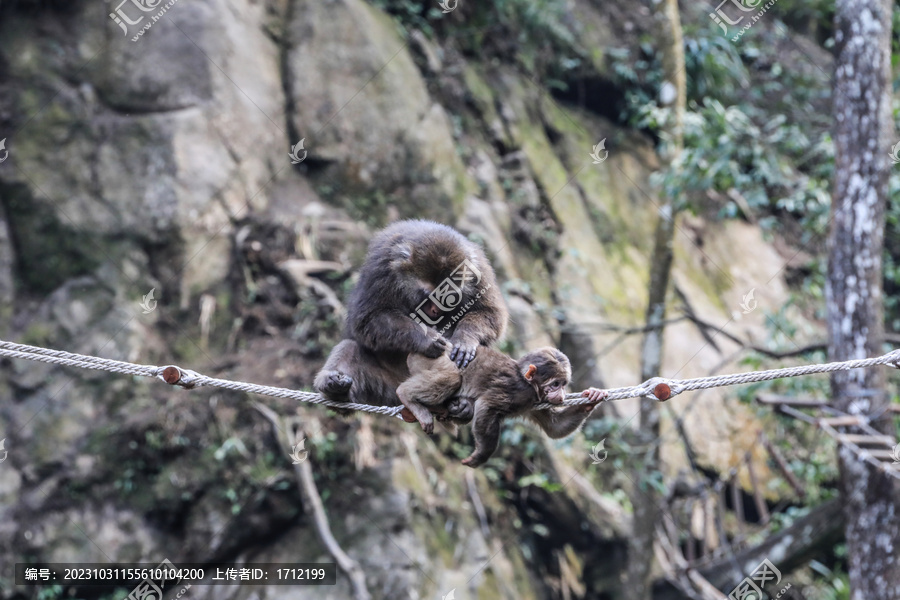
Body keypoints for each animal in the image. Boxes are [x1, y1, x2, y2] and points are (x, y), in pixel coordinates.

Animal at [312, 218, 506, 414]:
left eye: (448, 297)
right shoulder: (382, 266)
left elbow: (492, 313)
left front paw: (464, 340)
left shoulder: (479, 270)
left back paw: (464, 405)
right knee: (350, 347)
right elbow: (367, 318)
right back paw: (334, 388)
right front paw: (427, 338)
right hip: (387, 386)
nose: (435, 311)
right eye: (429, 295)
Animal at [398, 346, 608, 468]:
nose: (562, 394)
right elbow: (487, 406)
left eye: (564, 384)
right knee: (452, 378)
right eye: (556, 384)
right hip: (430, 360)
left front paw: (593, 397)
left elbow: (555, 427)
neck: (527, 382)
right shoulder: (519, 391)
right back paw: (406, 395)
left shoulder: (533, 403)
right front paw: (482, 455)